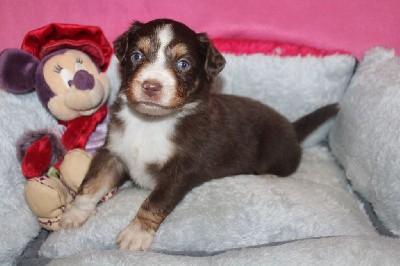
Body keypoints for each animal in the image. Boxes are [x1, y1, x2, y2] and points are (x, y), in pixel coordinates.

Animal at [59, 18, 340, 251]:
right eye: (137, 56)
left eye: (183, 64)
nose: (151, 86)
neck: (151, 122)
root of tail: (292, 127)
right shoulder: (113, 153)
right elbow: (92, 183)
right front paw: (73, 214)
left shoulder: (181, 169)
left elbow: (154, 203)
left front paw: (136, 234)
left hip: (278, 153)